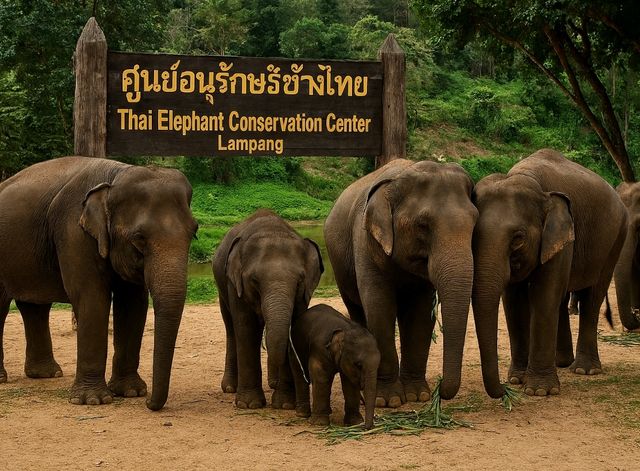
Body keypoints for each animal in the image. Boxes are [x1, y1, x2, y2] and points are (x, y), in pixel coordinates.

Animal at [0, 156, 198, 410]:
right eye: (139, 238)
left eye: (194, 232)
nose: (149, 403)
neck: (115, 175)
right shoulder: (74, 231)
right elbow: (92, 298)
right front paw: (92, 400)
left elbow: (133, 304)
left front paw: (131, 392)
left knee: (35, 307)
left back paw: (46, 374)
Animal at [212, 209, 324, 409]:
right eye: (254, 280)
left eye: (299, 281)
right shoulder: (235, 286)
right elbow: (246, 329)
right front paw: (249, 405)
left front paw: (285, 404)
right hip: (221, 287)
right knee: (231, 329)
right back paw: (231, 388)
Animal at [324, 159, 478, 407]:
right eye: (422, 225)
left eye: (475, 223)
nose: (440, 388)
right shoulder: (365, 242)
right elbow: (379, 309)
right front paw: (389, 400)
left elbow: (421, 314)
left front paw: (418, 396)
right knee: (357, 310)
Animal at [472, 149, 627, 398]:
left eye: (518, 239)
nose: (504, 390)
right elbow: (513, 301)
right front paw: (517, 379)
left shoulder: (562, 238)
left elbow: (544, 296)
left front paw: (539, 391)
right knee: (562, 297)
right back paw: (561, 362)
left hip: (616, 239)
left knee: (593, 296)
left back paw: (584, 370)